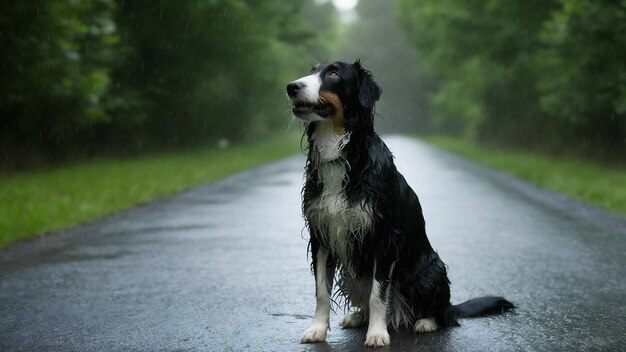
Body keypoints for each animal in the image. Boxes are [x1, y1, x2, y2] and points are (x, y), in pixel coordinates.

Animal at [286, 59, 510, 346]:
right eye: (311, 71)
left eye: (333, 73)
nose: (291, 87)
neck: (343, 155)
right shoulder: (321, 235)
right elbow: (321, 292)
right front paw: (317, 329)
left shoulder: (383, 237)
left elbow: (378, 293)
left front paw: (377, 333)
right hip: (351, 274)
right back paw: (358, 317)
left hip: (430, 273)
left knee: (445, 313)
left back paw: (425, 322)